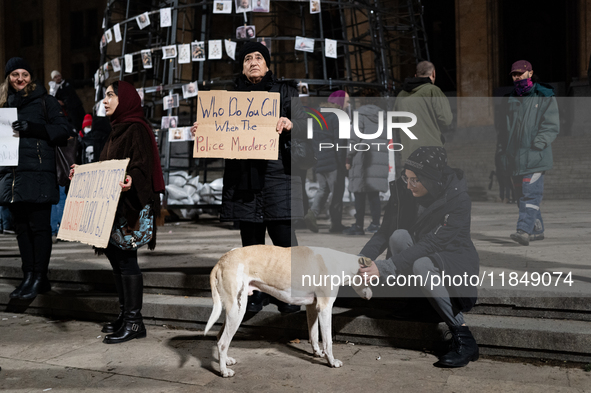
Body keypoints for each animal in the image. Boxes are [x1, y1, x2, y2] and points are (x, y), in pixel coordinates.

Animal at [201, 245, 372, 376]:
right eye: (370, 279)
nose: (370, 296)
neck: (339, 263)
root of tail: (222, 260)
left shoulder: (312, 307)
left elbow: (314, 335)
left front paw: (317, 353)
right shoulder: (324, 308)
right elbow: (328, 341)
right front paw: (331, 361)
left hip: (232, 311)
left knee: (219, 336)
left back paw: (226, 361)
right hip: (237, 311)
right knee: (223, 342)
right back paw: (223, 371)